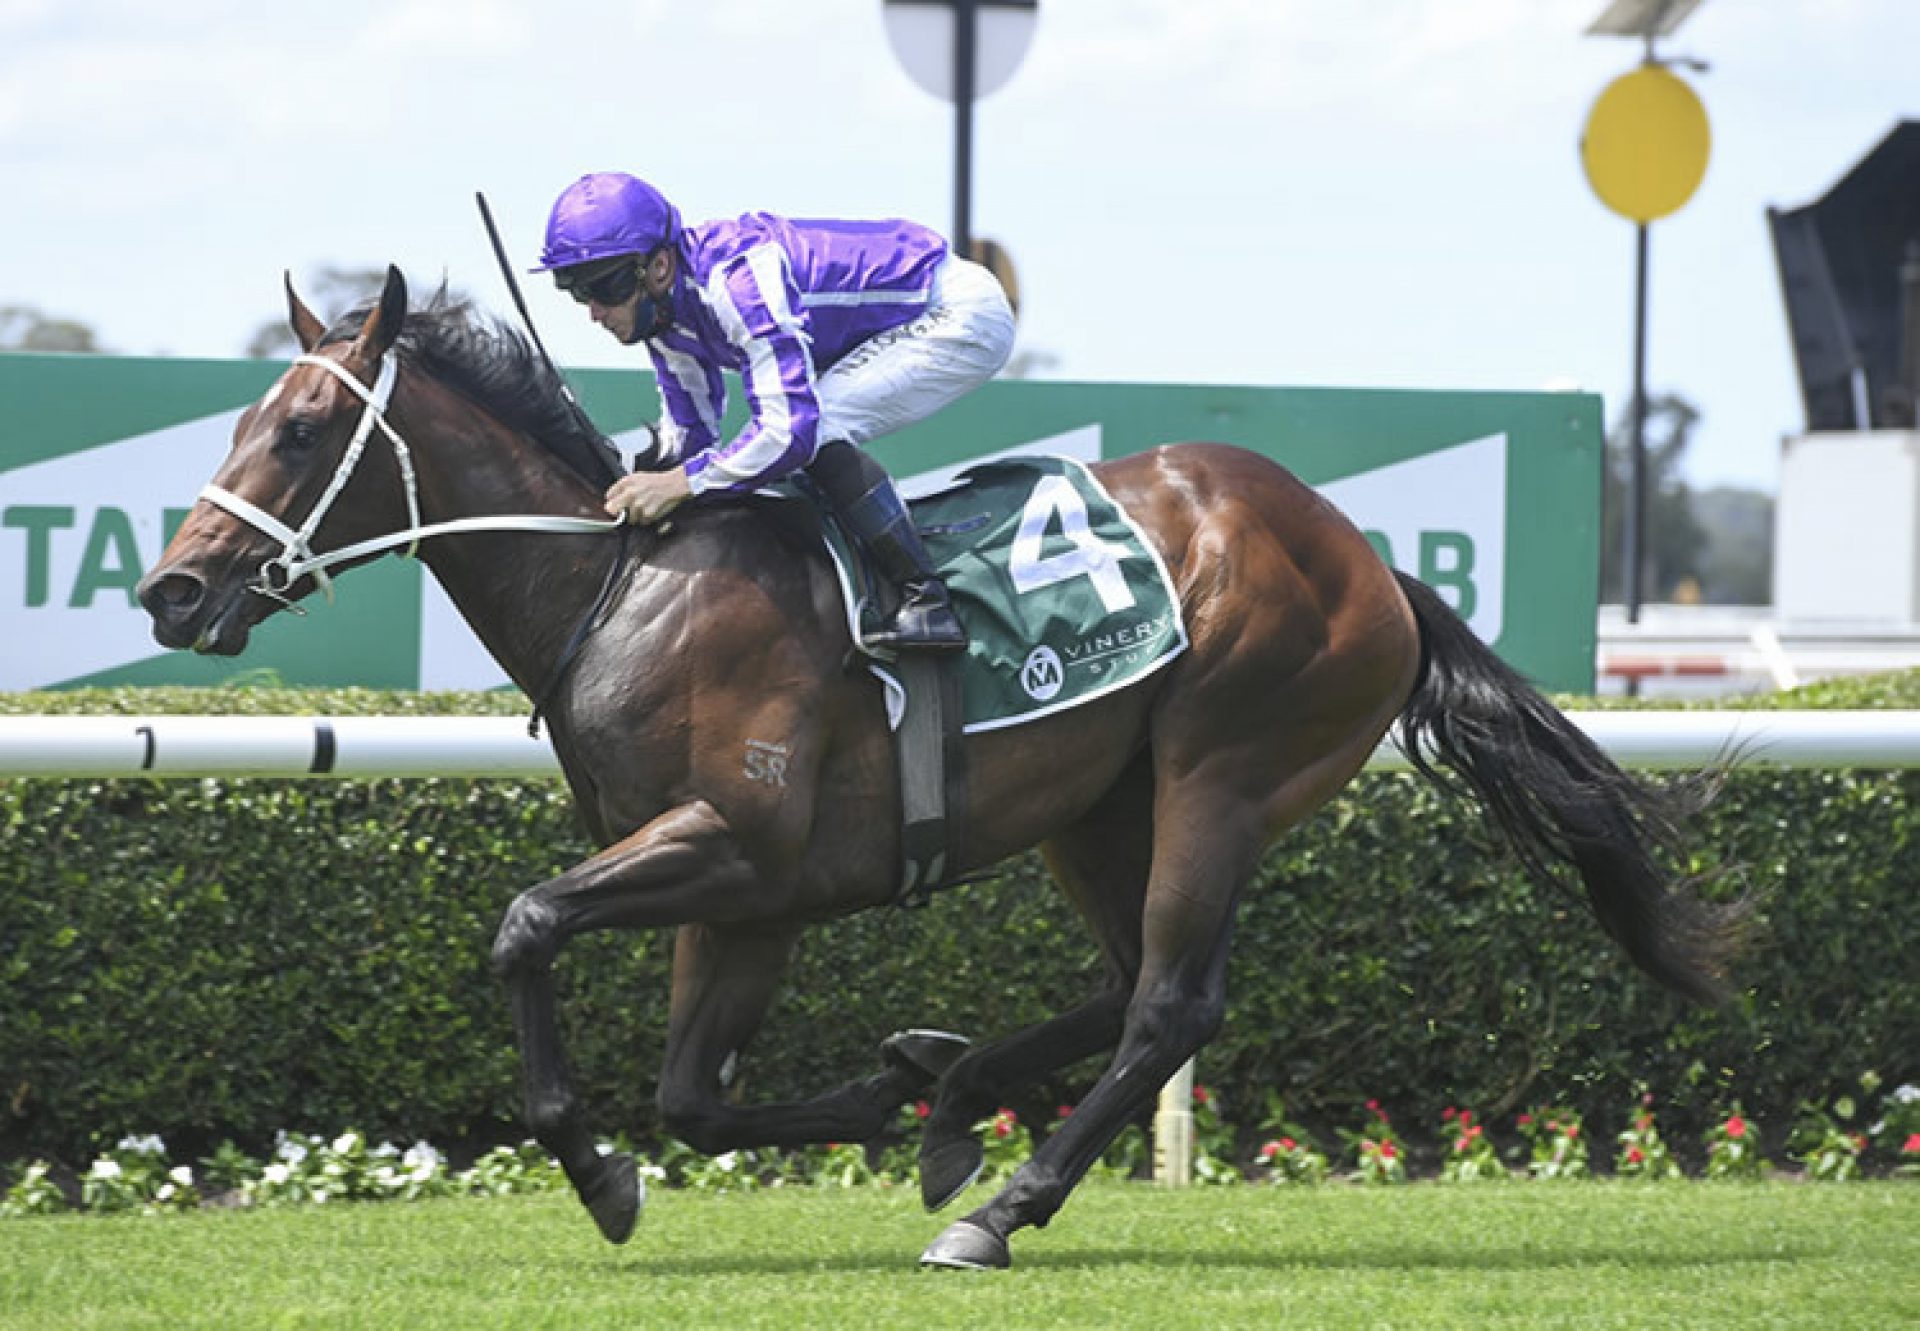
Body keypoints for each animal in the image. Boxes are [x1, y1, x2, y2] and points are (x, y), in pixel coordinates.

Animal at [139, 266, 1758, 1267]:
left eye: (301, 426)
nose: (170, 589)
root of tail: (1369, 559)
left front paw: (600, 1174)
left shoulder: (730, 838)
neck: (623, 583)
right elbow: (694, 1096)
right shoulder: (748, 894)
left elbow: (529, 924)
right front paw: (879, 1091)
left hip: (1226, 770)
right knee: (1124, 981)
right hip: (1097, 808)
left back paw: (996, 1206)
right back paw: (951, 1097)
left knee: (1173, 1001)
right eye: (242, 417)